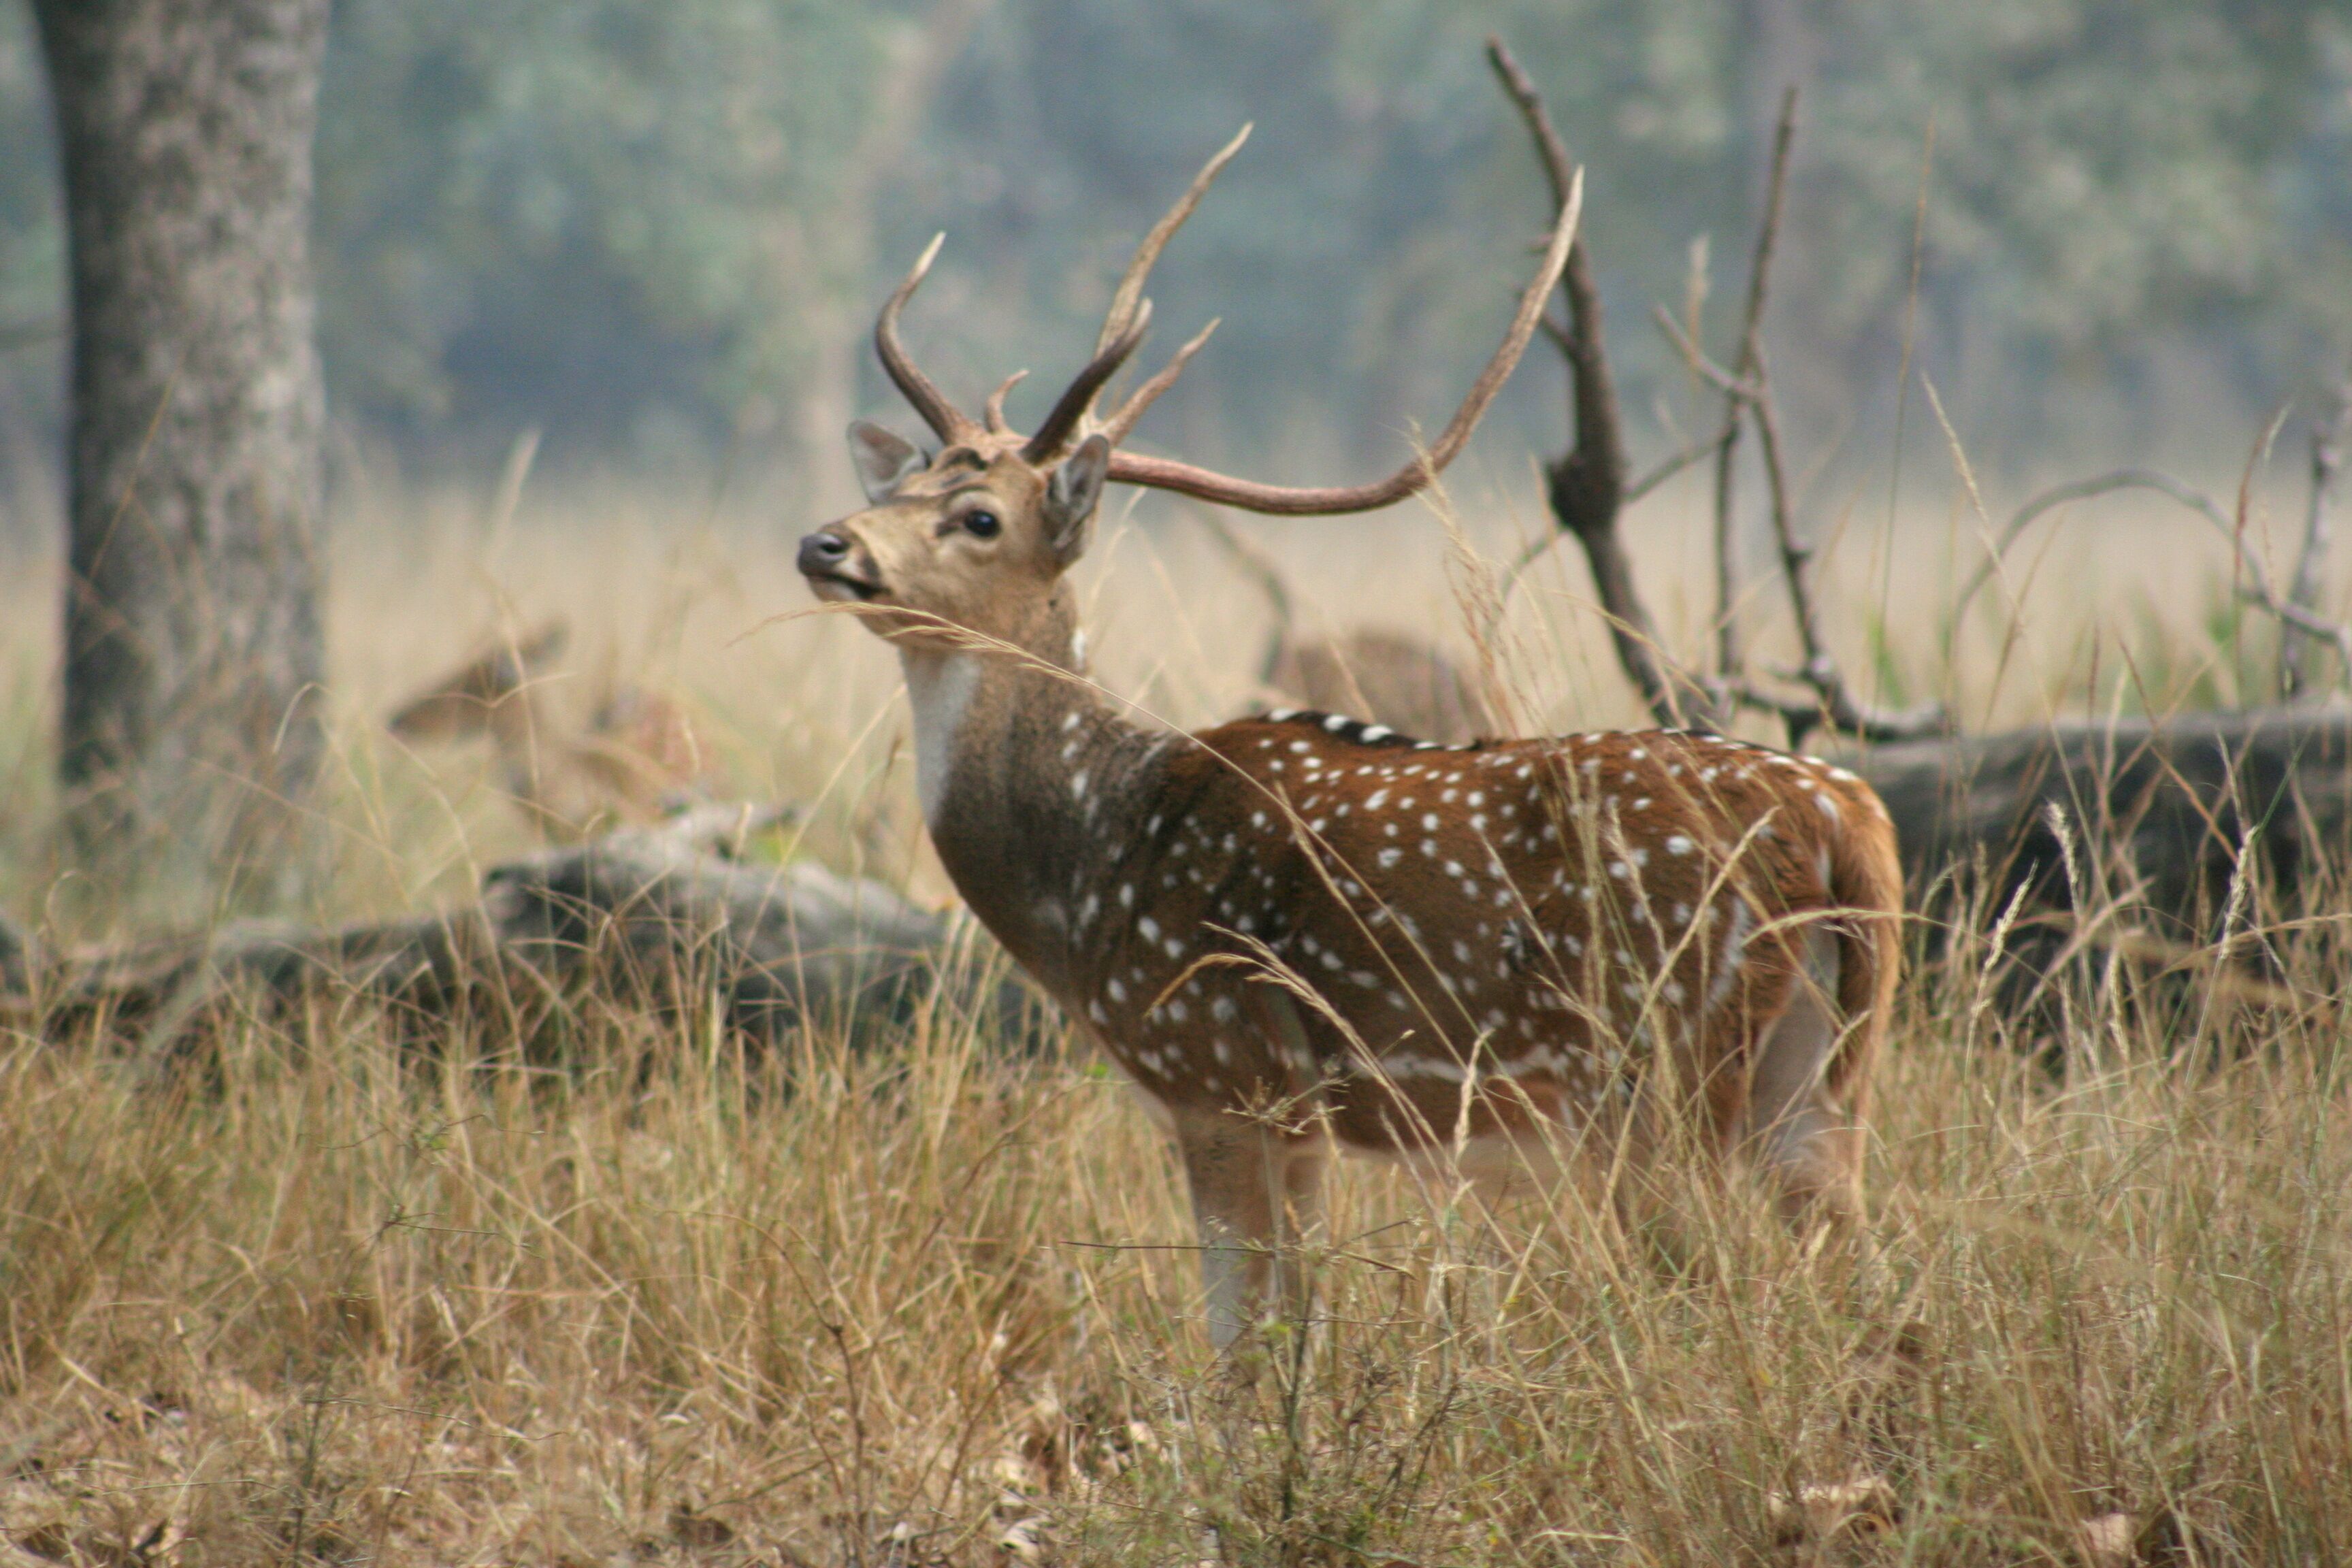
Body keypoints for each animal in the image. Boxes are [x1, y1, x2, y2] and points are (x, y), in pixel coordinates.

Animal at [796, 129, 1905, 1349]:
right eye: (902, 482)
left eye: (980, 518)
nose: (827, 543)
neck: (1085, 874)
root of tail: (1844, 818)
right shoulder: (1299, 1118)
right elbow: (1296, 1329)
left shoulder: (1219, 1072)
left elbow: (1242, 1344)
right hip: (1823, 1078)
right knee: (1877, 1284)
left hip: (1657, 1072)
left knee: (1715, 1287)